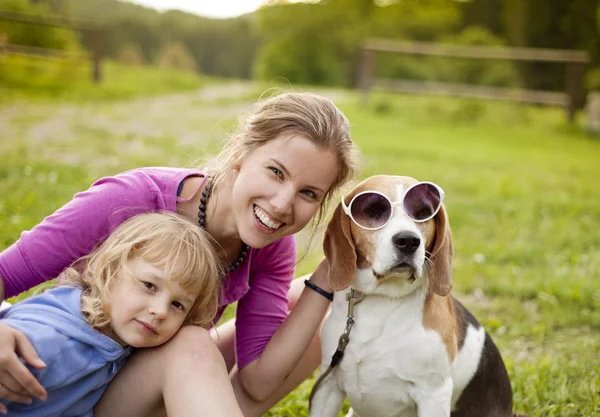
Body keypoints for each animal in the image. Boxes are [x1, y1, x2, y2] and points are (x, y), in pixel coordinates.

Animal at [312, 175, 524, 416]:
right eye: (374, 209)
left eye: (423, 212)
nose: (408, 241)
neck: (381, 301)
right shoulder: (328, 385)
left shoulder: (433, 394)